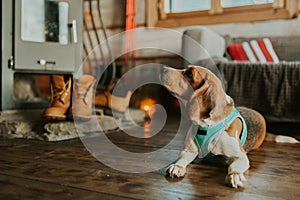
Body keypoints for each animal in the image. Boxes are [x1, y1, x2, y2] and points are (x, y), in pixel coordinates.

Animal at [159, 65, 298, 188]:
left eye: (189, 74)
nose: (162, 68)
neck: (207, 124)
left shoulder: (241, 156)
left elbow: (234, 166)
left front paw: (235, 175)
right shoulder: (189, 150)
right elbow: (182, 159)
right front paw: (177, 166)